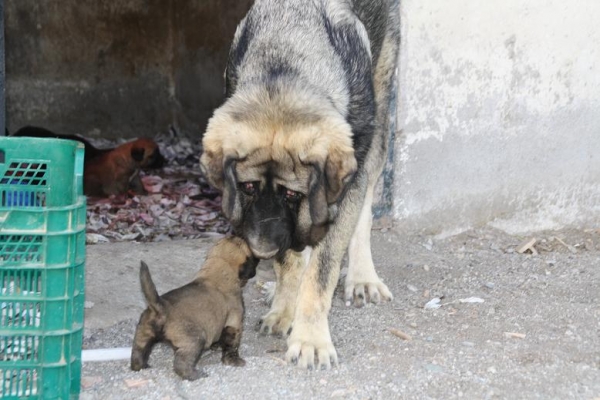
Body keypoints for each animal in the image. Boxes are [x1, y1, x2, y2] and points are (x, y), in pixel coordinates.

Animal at [131, 238, 258, 382]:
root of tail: (160, 305)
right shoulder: (234, 322)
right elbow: (232, 344)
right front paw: (234, 361)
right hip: (195, 339)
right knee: (181, 363)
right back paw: (195, 375)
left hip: (142, 335)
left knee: (138, 352)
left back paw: (141, 366)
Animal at [200, 0, 398, 368]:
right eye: (248, 188)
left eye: (293, 193)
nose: (260, 251)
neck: (285, 63)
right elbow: (291, 261)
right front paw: (285, 309)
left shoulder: (342, 188)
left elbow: (321, 271)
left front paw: (311, 339)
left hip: (379, 122)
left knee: (364, 208)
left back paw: (362, 276)